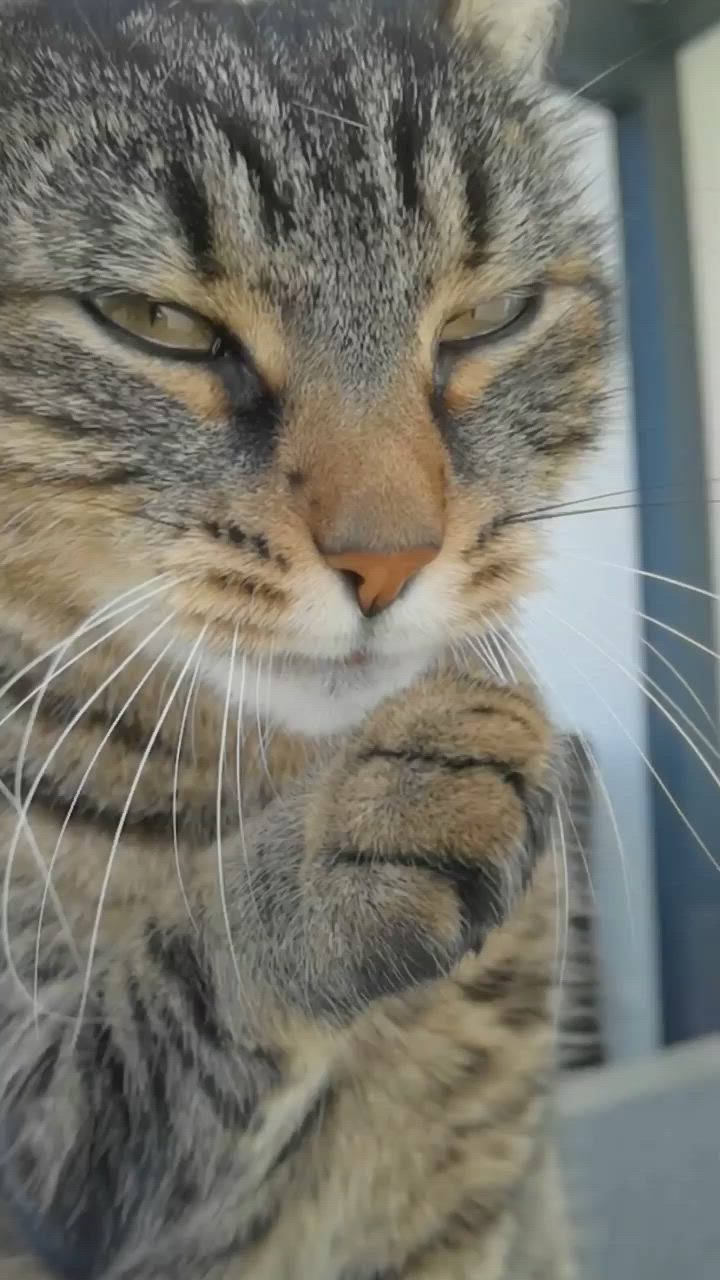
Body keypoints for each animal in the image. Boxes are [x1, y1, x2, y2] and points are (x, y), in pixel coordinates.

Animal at [0, 2, 604, 1280]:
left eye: (488, 318)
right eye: (159, 323)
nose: (392, 558)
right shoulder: (46, 1151)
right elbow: (180, 1005)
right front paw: (365, 825)